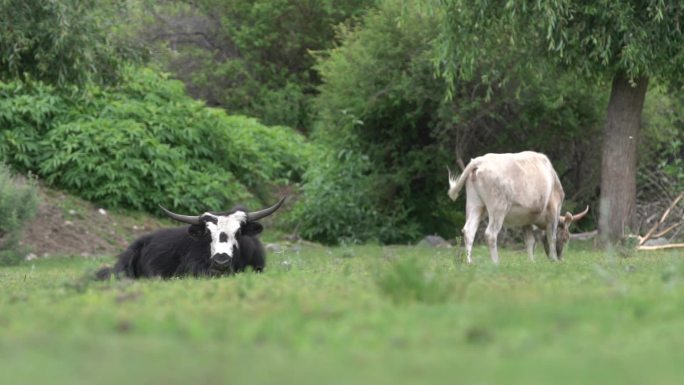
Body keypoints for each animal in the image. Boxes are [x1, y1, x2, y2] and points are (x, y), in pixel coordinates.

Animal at [448, 152, 588, 262]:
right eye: (566, 237)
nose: (560, 258)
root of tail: (479, 161)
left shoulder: (526, 219)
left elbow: (530, 241)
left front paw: (532, 261)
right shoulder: (553, 210)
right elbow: (551, 237)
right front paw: (553, 259)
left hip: (475, 205)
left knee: (469, 231)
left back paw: (469, 262)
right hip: (498, 208)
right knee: (490, 234)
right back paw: (496, 262)